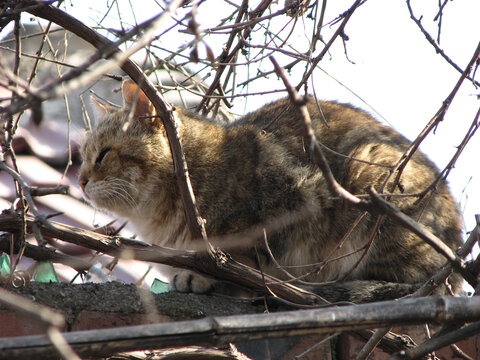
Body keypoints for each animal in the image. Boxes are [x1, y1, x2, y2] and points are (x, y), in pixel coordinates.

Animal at [78, 81, 462, 298]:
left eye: (103, 154)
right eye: (82, 156)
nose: (80, 179)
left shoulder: (289, 201)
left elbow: (244, 259)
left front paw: (205, 277)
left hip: (372, 181)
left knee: (416, 283)